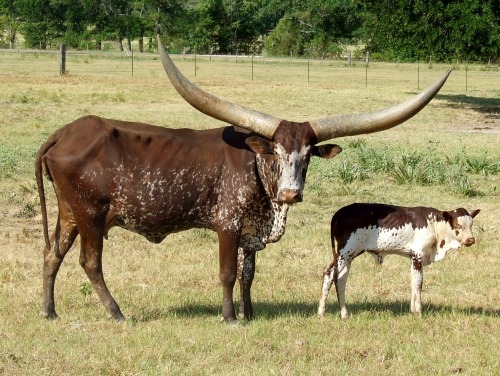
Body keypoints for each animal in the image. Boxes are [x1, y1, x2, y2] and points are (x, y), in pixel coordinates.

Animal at [34, 36, 450, 324]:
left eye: (307, 156)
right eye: (274, 152)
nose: (290, 193)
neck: (259, 177)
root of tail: (65, 132)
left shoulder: (252, 232)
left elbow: (249, 274)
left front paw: (250, 313)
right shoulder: (228, 224)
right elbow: (227, 272)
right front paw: (230, 317)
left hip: (69, 213)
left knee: (53, 254)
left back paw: (49, 311)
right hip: (90, 215)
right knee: (90, 262)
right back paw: (117, 313)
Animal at [316, 204, 480, 318]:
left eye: (471, 225)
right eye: (459, 225)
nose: (470, 239)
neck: (434, 225)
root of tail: (340, 213)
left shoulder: (413, 258)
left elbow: (414, 283)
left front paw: (413, 310)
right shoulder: (418, 256)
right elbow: (418, 284)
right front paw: (419, 311)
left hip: (347, 256)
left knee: (336, 277)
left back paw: (333, 313)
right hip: (345, 253)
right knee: (333, 276)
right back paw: (331, 312)